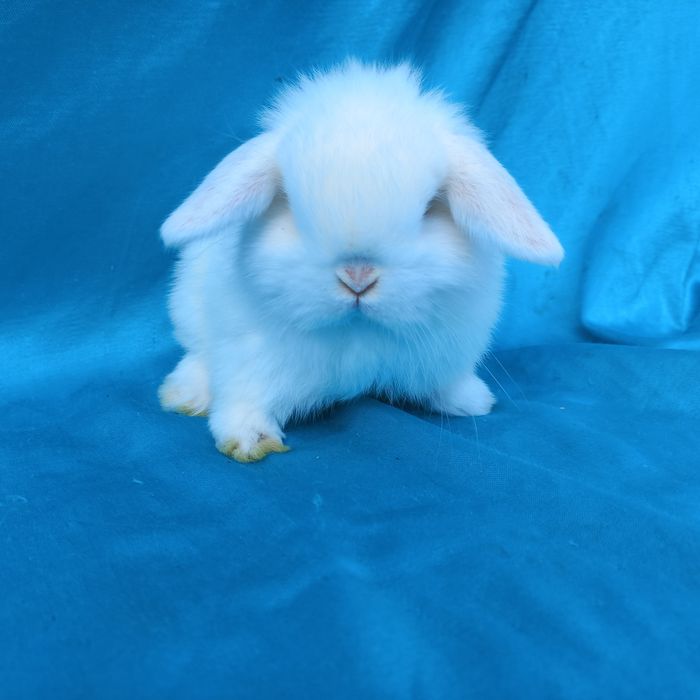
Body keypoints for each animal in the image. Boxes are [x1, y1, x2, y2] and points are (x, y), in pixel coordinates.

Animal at [158, 60, 563, 462]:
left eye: (430, 207)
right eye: (289, 203)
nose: (357, 277)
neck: (359, 330)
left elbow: (447, 384)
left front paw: (472, 401)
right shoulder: (250, 354)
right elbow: (244, 398)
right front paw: (249, 441)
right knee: (197, 356)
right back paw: (185, 395)